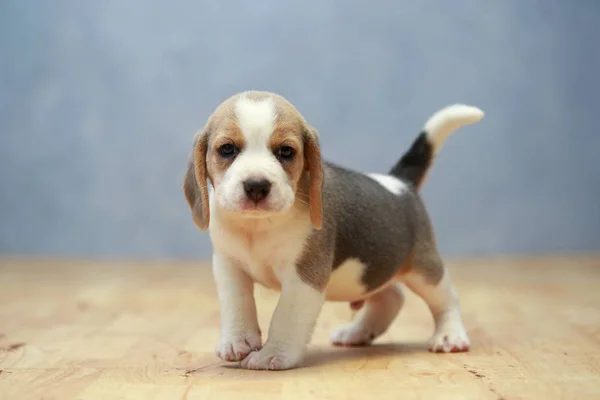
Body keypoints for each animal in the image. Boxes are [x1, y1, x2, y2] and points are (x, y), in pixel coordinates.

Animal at [185, 90, 486, 368]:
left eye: (286, 151)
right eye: (227, 149)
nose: (257, 185)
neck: (256, 226)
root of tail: (400, 182)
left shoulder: (304, 278)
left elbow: (285, 317)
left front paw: (273, 355)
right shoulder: (229, 267)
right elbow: (237, 305)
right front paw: (237, 340)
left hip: (424, 269)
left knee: (446, 300)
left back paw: (449, 335)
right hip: (370, 272)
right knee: (391, 297)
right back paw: (358, 333)